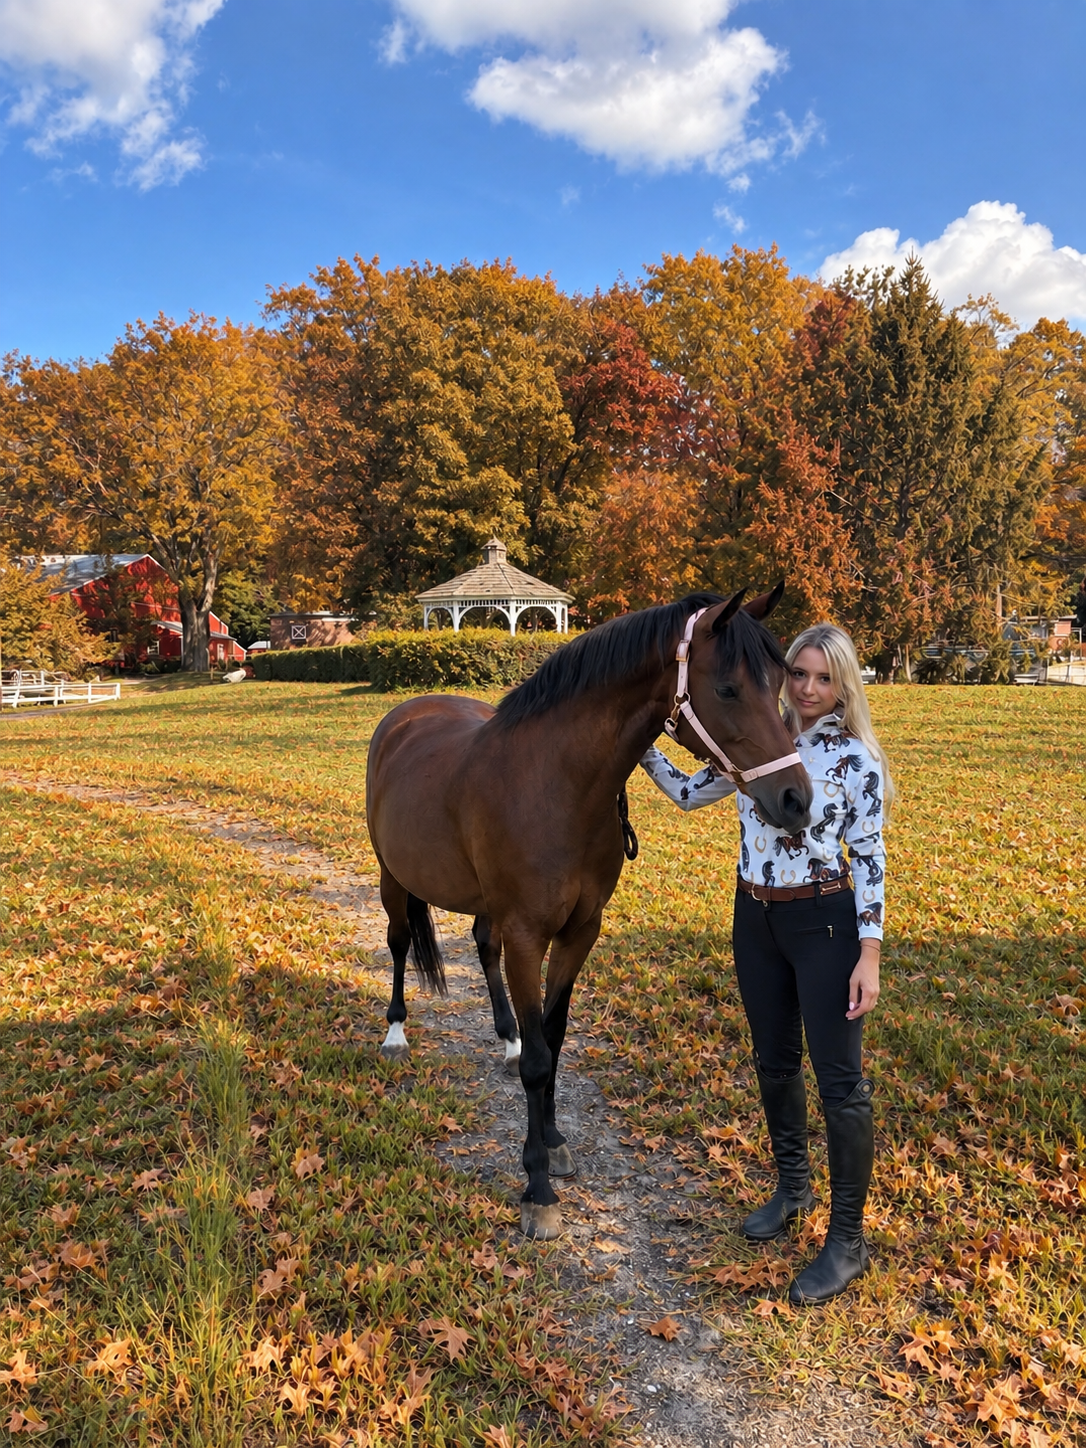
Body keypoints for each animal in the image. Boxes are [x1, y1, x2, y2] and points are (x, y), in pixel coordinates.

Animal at [365, 586, 813, 1239]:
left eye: (781, 681)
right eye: (729, 689)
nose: (796, 800)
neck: (557, 784)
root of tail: (406, 715)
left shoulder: (579, 932)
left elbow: (551, 1039)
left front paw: (552, 1141)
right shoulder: (529, 934)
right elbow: (540, 1062)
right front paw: (538, 1189)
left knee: (482, 946)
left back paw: (506, 1038)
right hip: (393, 878)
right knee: (400, 943)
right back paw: (397, 1033)